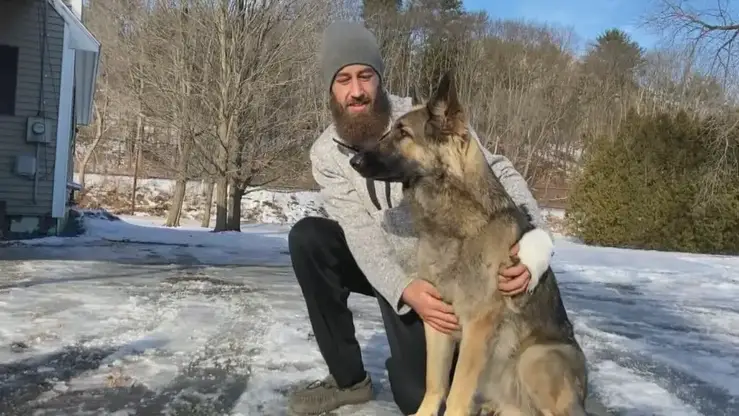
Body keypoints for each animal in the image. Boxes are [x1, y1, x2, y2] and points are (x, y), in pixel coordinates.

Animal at [348, 72, 588, 416]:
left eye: (403, 133)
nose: (353, 159)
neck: (455, 223)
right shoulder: (437, 321)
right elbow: (436, 384)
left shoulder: (477, 326)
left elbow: (458, 392)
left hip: (534, 359)